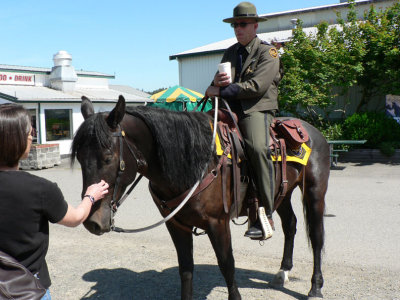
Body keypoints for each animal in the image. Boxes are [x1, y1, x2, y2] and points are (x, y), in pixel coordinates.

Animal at [72, 96, 332, 300]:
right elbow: (186, 268)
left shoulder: (218, 223)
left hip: (314, 192)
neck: (195, 163)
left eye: (108, 158)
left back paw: (315, 288)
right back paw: (282, 272)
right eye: (80, 158)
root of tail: (310, 130)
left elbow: (227, 265)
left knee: (317, 236)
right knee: (290, 225)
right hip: (282, 194)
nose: (93, 222)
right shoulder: (176, 225)